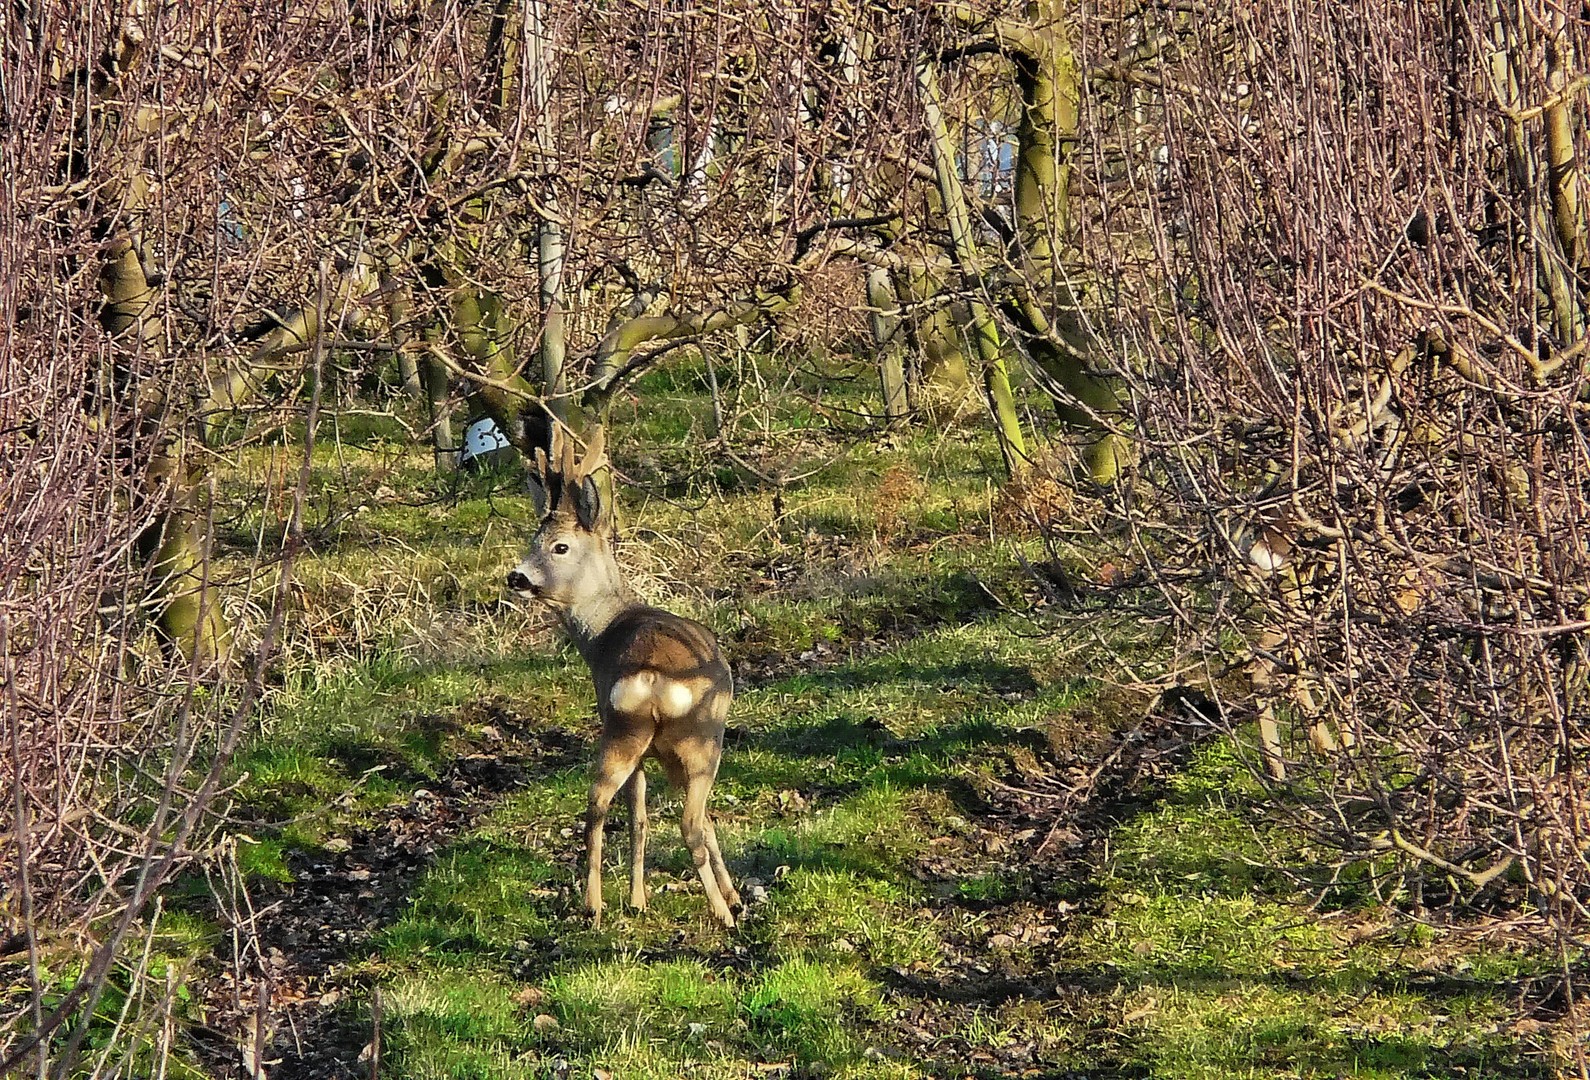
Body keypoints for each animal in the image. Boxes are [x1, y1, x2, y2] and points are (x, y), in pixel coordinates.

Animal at [505, 426, 740, 922]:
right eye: (536, 540)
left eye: (558, 545)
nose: (516, 577)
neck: (601, 633)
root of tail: (649, 678)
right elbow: (660, 815)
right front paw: (723, 896)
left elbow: (642, 815)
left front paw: (638, 898)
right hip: (699, 735)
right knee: (686, 820)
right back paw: (721, 914)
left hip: (629, 730)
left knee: (598, 801)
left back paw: (594, 905)